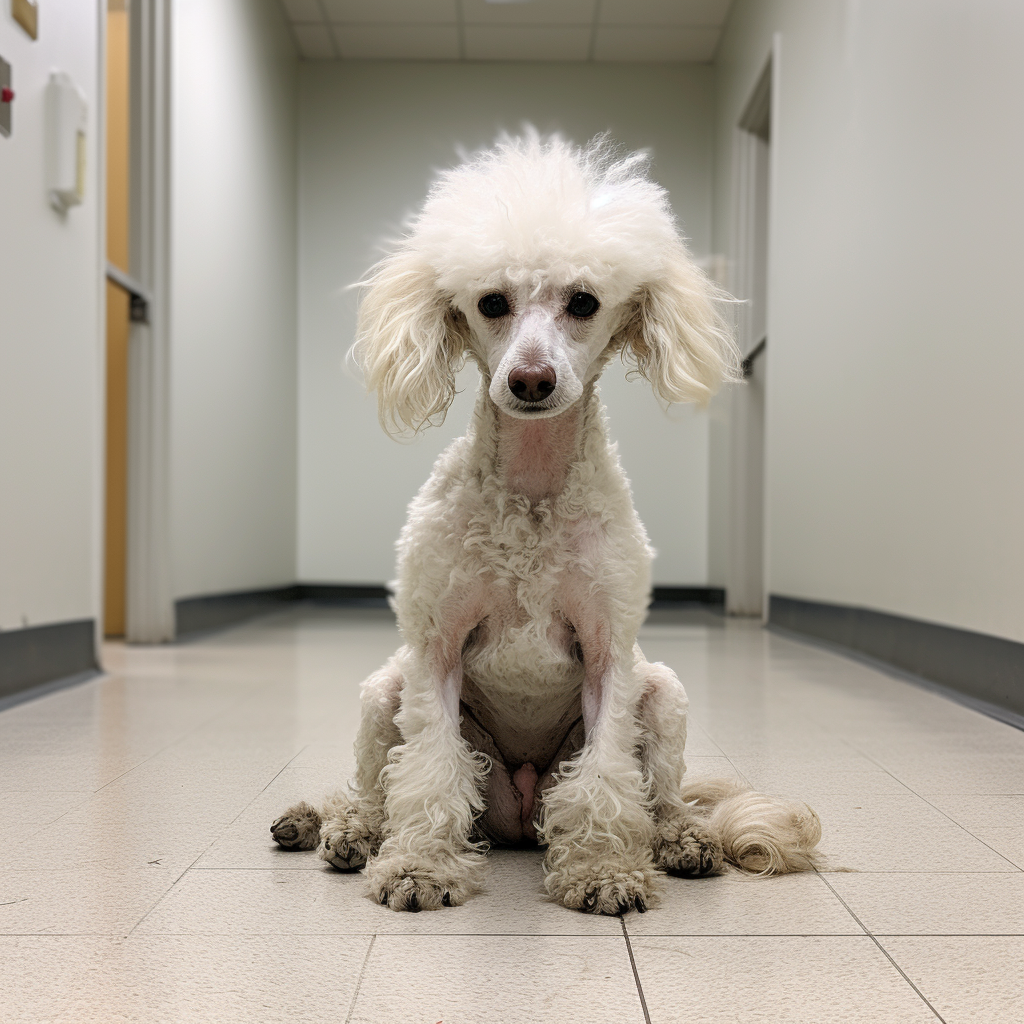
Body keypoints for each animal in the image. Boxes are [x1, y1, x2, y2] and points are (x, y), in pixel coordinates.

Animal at [268, 130, 819, 913]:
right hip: (385, 695)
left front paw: (602, 868)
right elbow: (427, 770)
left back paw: (682, 839)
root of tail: (521, 814)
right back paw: (345, 827)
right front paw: (419, 865)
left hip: (664, 695)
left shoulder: (609, 653)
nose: (531, 380)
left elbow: (607, 780)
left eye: (584, 301)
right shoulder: (435, 650)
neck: (530, 494)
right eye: (491, 301)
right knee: (376, 785)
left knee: (662, 796)